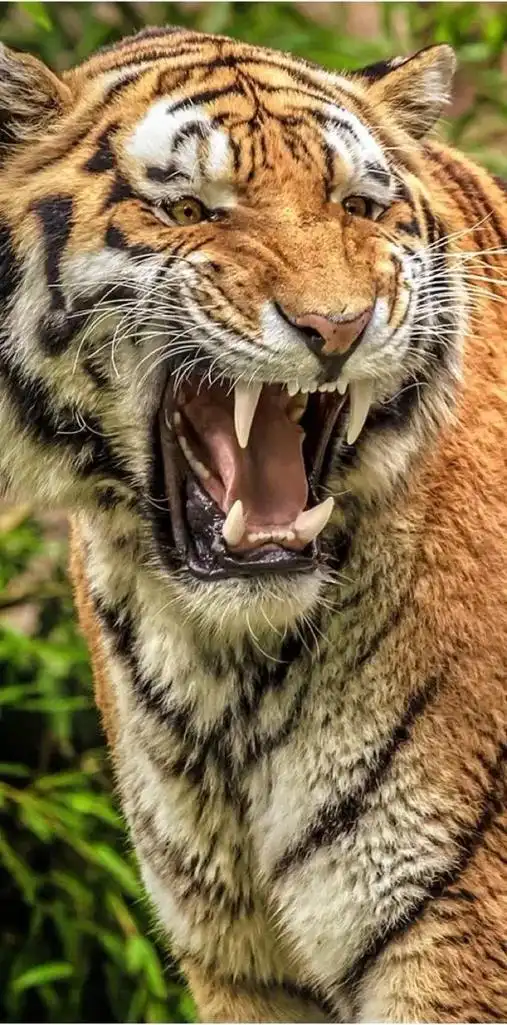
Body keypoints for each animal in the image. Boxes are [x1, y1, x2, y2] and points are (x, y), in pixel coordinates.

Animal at [0, 23, 505, 1023]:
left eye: (357, 206)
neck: (222, 668)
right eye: (191, 208)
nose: (338, 327)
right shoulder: (236, 959)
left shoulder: (455, 932)